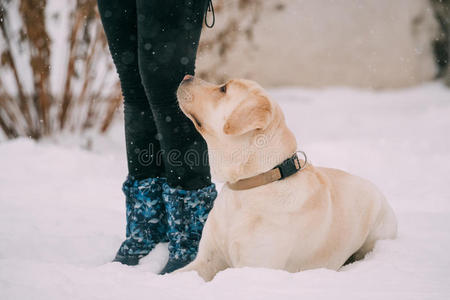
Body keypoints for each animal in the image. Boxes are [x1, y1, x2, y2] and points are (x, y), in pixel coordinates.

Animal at [176, 75, 398, 282]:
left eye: (223, 89)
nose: (186, 76)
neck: (253, 183)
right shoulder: (207, 259)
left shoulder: (255, 267)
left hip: (378, 229)